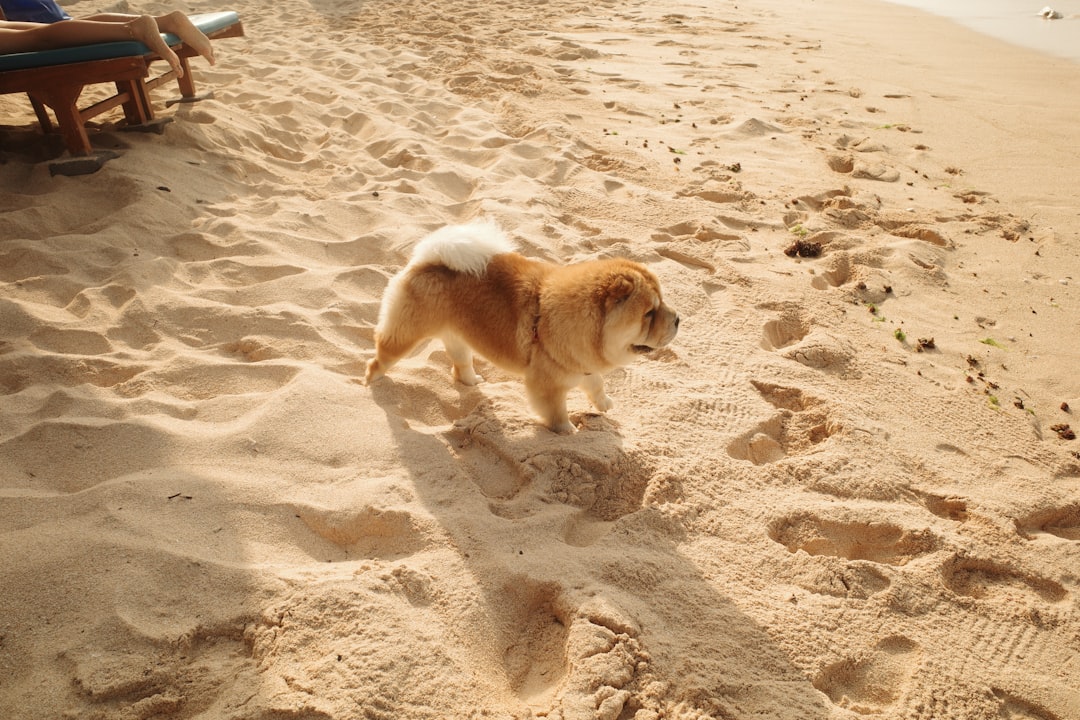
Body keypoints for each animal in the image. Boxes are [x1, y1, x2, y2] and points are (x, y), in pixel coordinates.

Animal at [367, 220, 678, 433]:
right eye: (649, 313)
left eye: (662, 301)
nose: (677, 319)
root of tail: (426, 259)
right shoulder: (548, 384)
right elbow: (556, 411)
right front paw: (568, 431)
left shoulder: (581, 365)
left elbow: (596, 383)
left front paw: (604, 404)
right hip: (405, 333)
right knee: (380, 357)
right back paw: (372, 382)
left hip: (457, 336)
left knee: (460, 363)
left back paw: (472, 381)